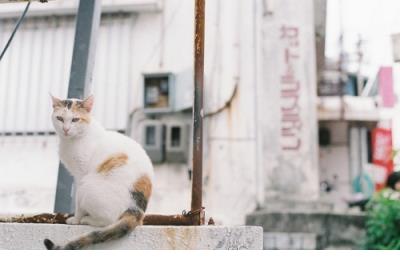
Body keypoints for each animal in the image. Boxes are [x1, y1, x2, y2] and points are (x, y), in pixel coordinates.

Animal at [43, 94, 153, 250]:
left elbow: (78, 202)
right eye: (60, 118)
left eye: (75, 119)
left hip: (88, 185)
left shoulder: (81, 175)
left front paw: (76, 218)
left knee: (108, 221)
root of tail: (136, 210)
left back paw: (86, 219)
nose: (65, 129)